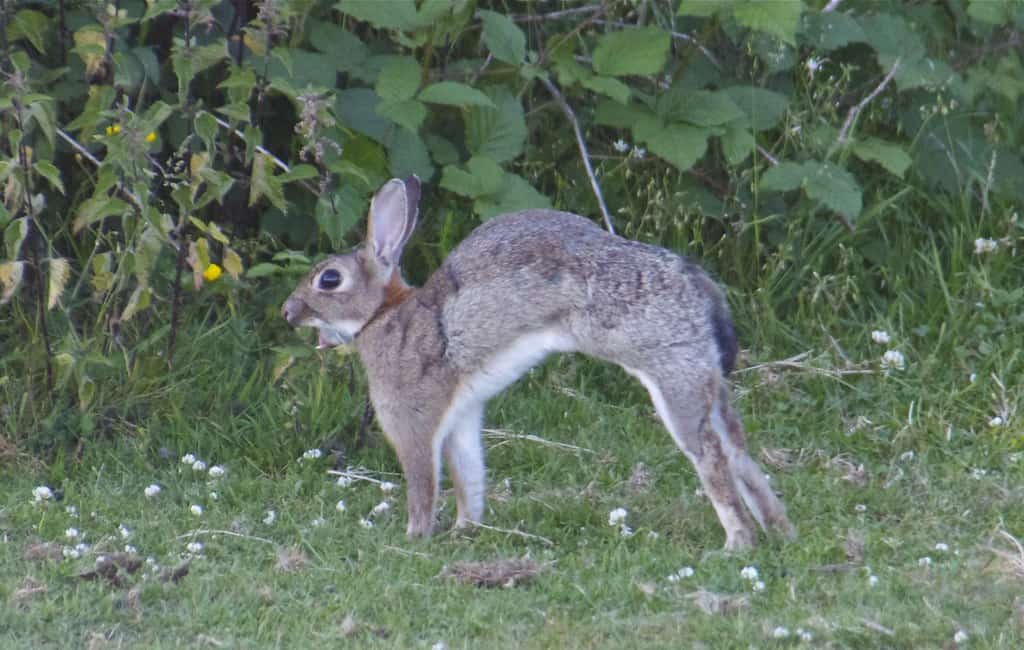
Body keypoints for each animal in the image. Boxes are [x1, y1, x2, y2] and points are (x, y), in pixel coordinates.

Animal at [284, 177, 794, 548]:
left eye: (329, 280)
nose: (289, 313)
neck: (383, 315)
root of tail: (699, 288)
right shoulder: (462, 417)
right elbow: (468, 474)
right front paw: (465, 530)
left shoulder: (412, 421)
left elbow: (423, 483)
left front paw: (416, 537)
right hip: (706, 377)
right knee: (736, 448)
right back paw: (779, 531)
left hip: (673, 373)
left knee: (709, 453)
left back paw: (738, 542)